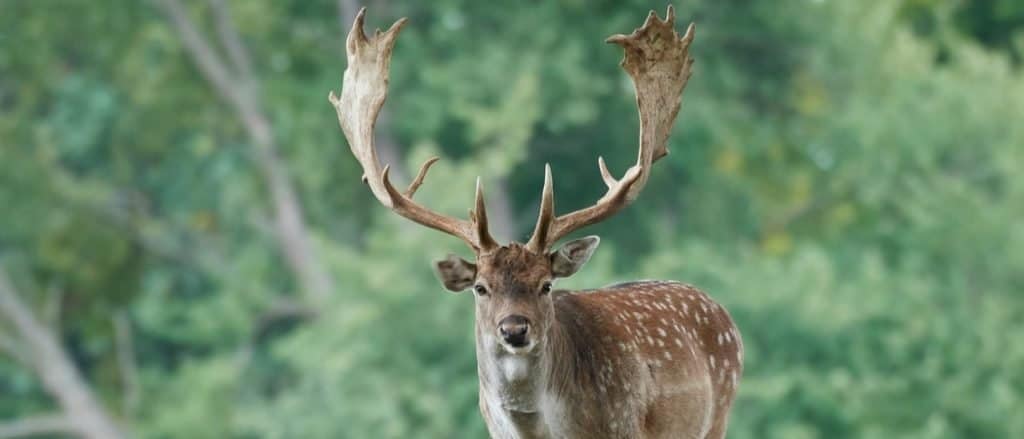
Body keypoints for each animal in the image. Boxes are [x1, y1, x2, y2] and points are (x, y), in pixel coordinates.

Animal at [331, 6, 741, 437]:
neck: (538, 428)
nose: (514, 329)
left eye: (546, 285)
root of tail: (724, 315)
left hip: (717, 414)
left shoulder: (625, 425)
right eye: (481, 287)